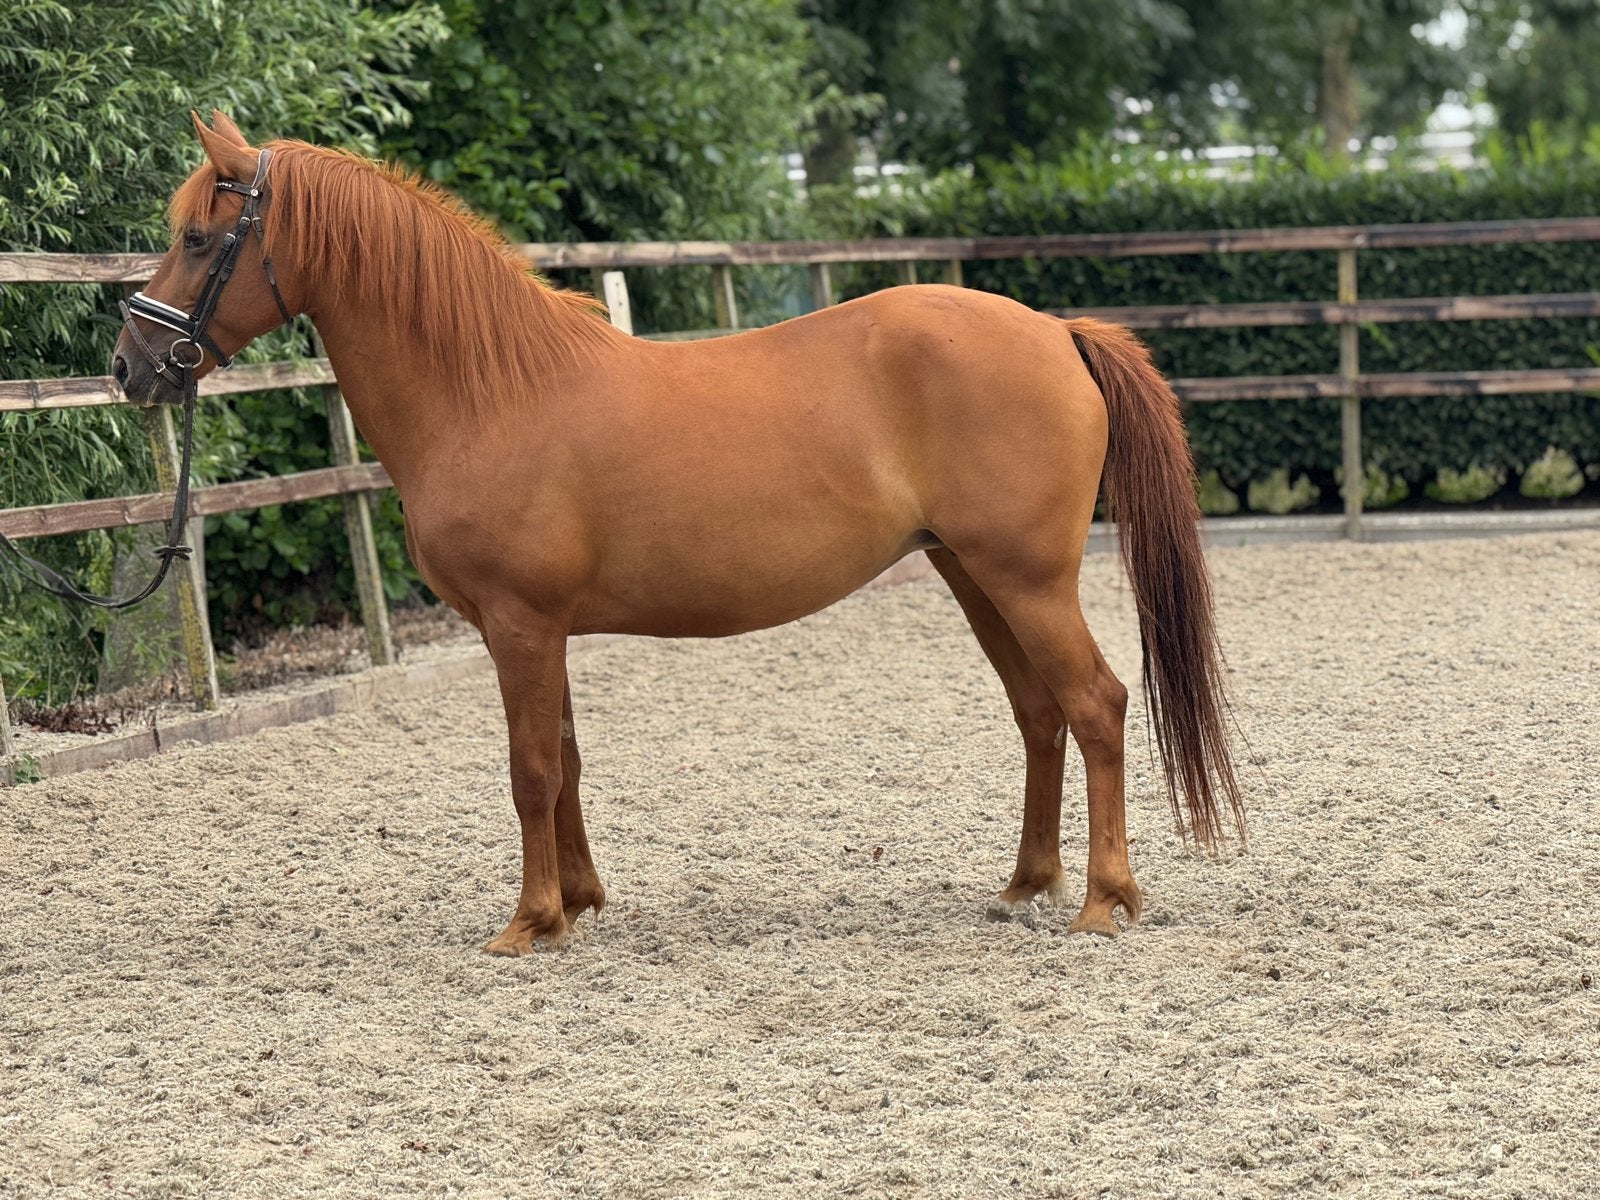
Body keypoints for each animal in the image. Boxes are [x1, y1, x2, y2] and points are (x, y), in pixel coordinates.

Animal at [113, 112, 1244, 956]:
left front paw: (528, 922)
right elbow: (565, 760)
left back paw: (1102, 900)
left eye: (200, 238)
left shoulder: (520, 625)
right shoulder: (540, 631)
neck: (491, 391)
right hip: (974, 576)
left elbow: (529, 769)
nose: (132, 367)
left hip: (1026, 578)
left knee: (1096, 706)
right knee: (1039, 714)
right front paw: (578, 903)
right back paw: (1024, 884)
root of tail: (1056, 330)